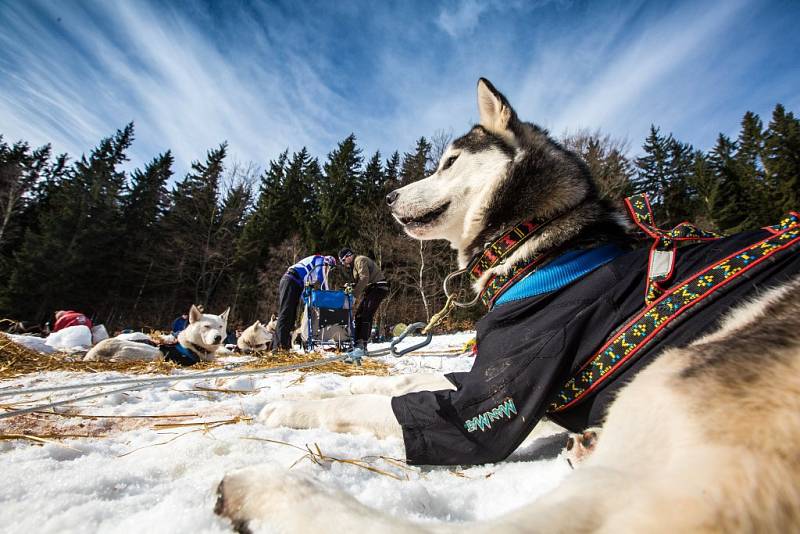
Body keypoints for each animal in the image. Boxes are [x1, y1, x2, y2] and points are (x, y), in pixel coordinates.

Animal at [216, 78, 800, 532]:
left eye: (449, 163)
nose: (387, 198)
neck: (535, 246)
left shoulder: (496, 398)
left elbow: (393, 408)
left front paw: (292, 407)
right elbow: (397, 382)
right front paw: (324, 383)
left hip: (671, 388)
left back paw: (264, 491)